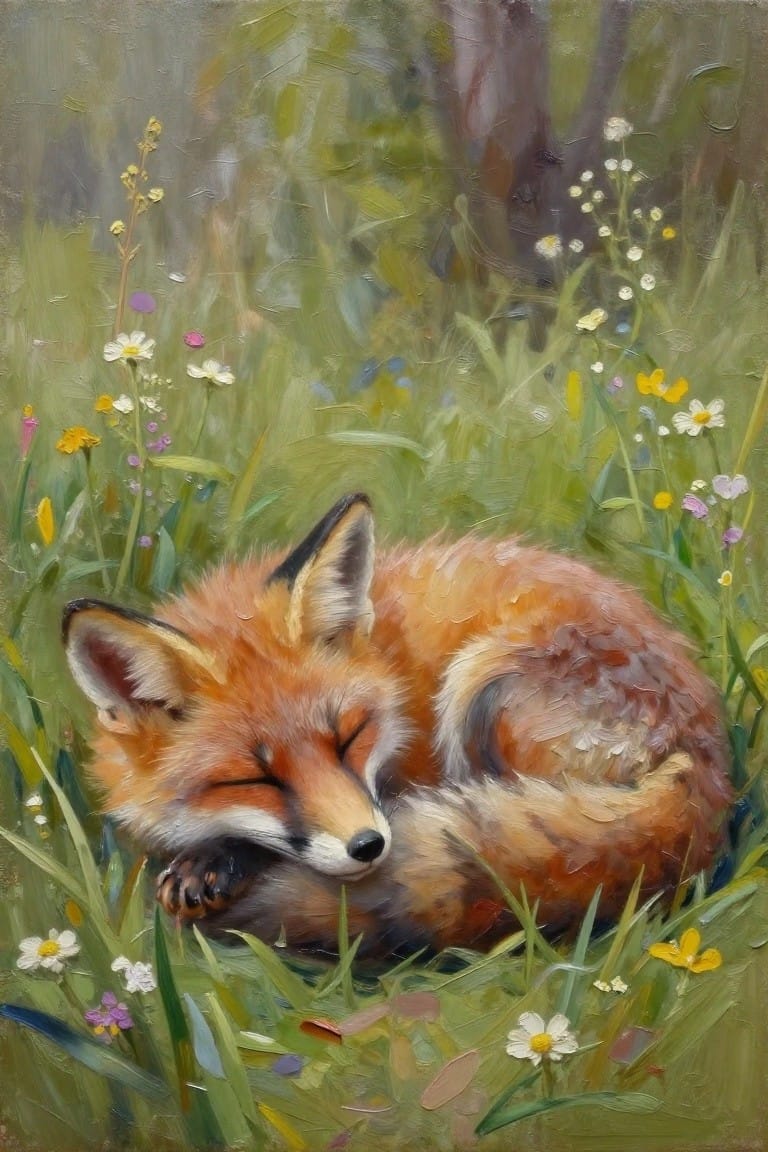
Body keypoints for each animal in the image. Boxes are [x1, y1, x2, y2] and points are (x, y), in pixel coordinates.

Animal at [63, 493, 733, 955]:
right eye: (253, 780)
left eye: (348, 738)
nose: (368, 847)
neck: (388, 657)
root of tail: (709, 771)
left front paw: (218, 862)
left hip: (481, 686)